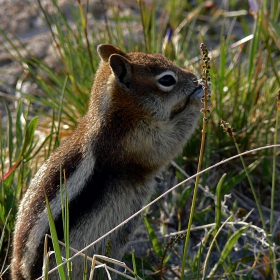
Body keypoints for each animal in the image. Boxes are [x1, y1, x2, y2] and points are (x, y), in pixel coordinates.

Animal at [11, 44, 206, 280]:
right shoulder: (138, 141)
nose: (194, 77)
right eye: (167, 80)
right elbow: (169, 142)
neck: (116, 114)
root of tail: (19, 272)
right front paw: (198, 97)